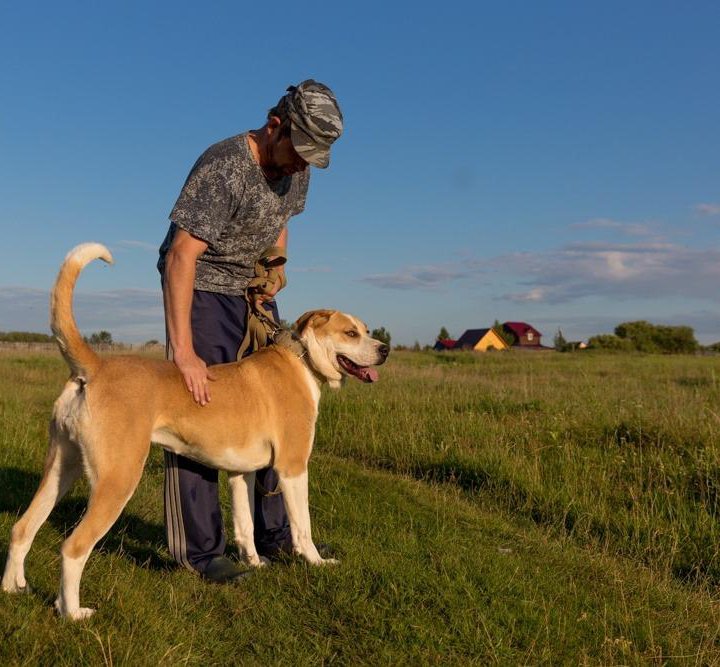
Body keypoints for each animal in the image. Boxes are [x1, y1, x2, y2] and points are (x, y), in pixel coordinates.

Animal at [1, 241, 388, 620]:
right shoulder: (292, 467)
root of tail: (95, 367)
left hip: (60, 468)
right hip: (118, 478)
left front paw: (254, 564)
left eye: (368, 330)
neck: (301, 359)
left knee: (23, 528)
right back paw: (72, 612)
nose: (384, 349)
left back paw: (12, 588)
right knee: (73, 547)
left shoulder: (241, 472)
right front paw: (317, 562)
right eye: (350, 333)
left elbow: (246, 526)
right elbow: (303, 526)